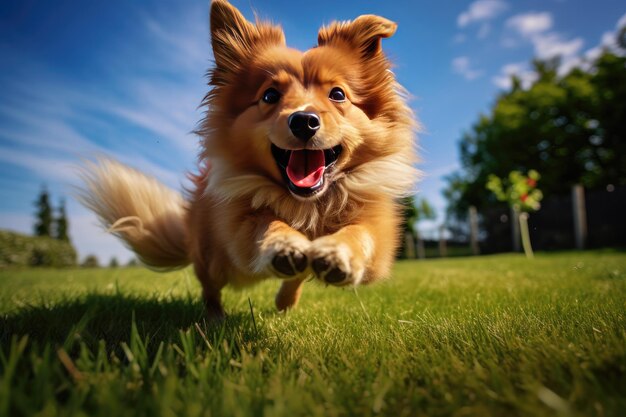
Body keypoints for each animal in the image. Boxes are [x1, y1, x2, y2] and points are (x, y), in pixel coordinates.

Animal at [79, 0, 420, 316]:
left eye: (337, 94)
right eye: (270, 95)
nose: (303, 120)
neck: (307, 207)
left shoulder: (377, 232)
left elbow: (359, 234)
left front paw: (337, 253)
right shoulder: (239, 225)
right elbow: (267, 223)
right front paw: (284, 244)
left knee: (296, 277)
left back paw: (285, 302)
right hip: (213, 258)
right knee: (209, 285)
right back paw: (214, 317)